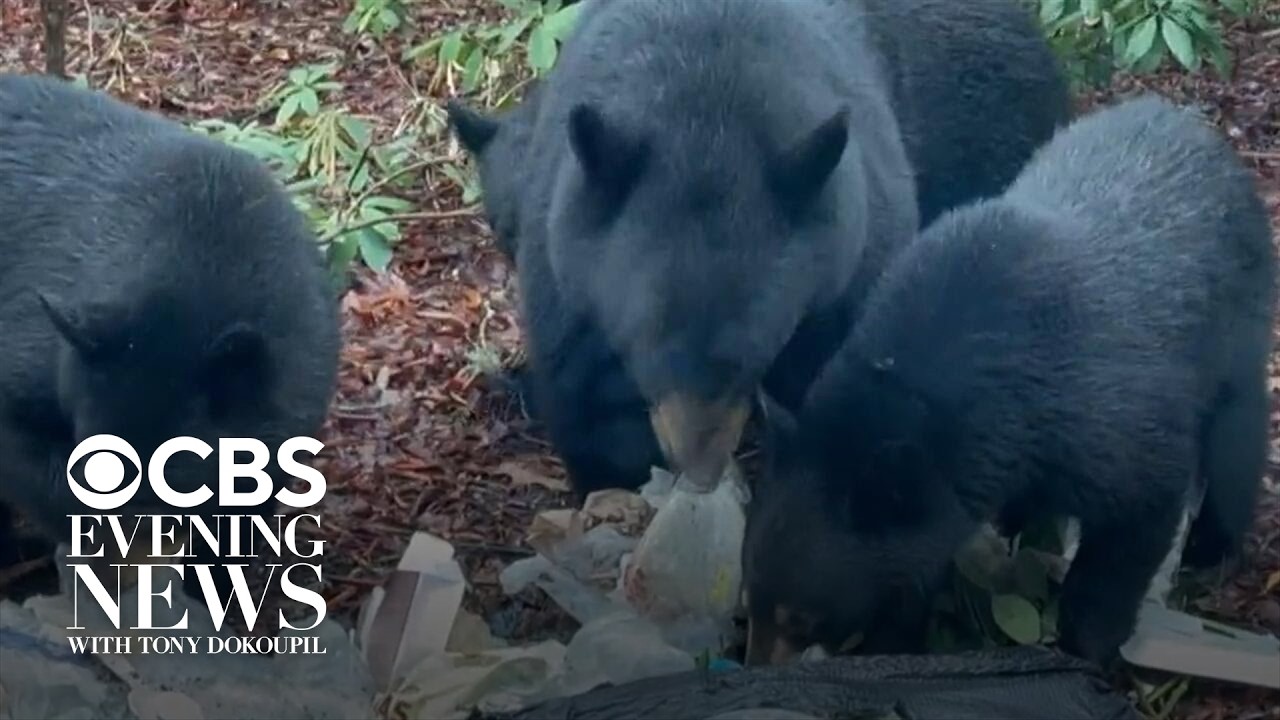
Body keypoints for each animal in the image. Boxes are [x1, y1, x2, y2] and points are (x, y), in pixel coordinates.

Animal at [741, 94, 1276, 668]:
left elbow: (1135, 521)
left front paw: (1089, 647)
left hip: (1239, 328)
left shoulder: (1107, 421)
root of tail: (1198, 127)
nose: (755, 663)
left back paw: (1212, 549)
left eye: (800, 618)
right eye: (750, 596)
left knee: (1236, 438)